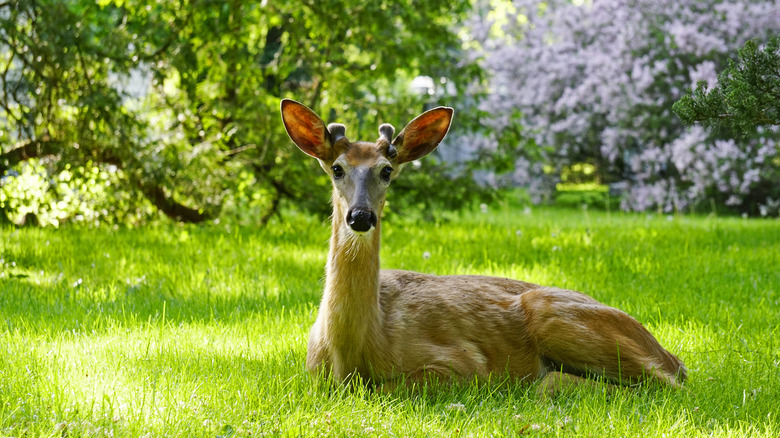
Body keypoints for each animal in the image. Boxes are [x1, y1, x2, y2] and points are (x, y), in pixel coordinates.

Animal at [282, 98, 688, 394]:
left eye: (386, 171)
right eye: (337, 168)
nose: (361, 216)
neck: (354, 352)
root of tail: (668, 353)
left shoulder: (462, 364)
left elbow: (389, 388)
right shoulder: (312, 372)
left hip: (553, 314)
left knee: (660, 384)